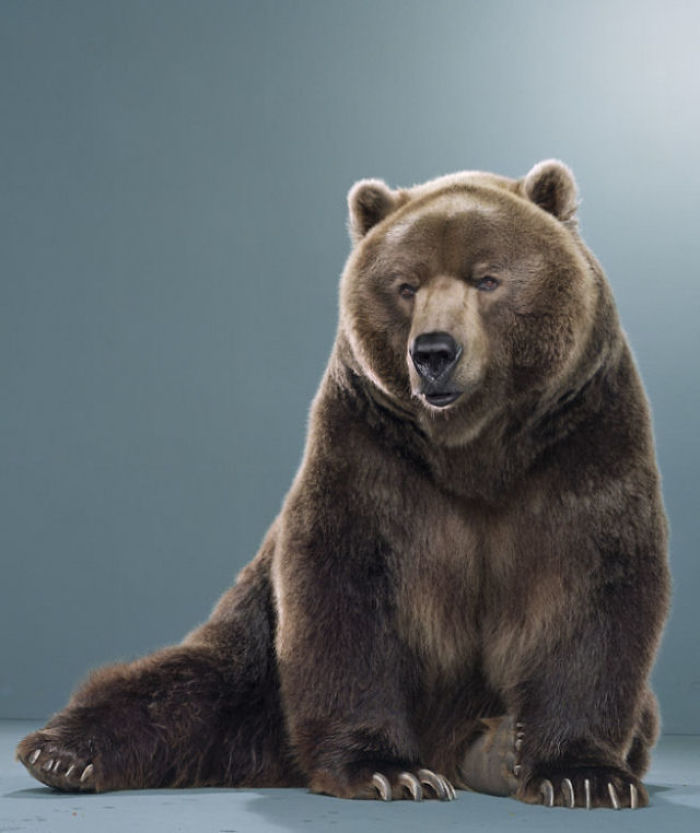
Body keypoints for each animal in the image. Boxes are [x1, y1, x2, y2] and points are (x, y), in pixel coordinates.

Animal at [17, 160, 670, 810]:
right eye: (406, 285)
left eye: (488, 279)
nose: (434, 352)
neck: (475, 450)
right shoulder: (369, 448)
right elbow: (344, 588)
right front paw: (386, 770)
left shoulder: (582, 439)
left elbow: (592, 589)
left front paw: (582, 775)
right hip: (256, 656)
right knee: (183, 685)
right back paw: (61, 751)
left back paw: (498, 749)